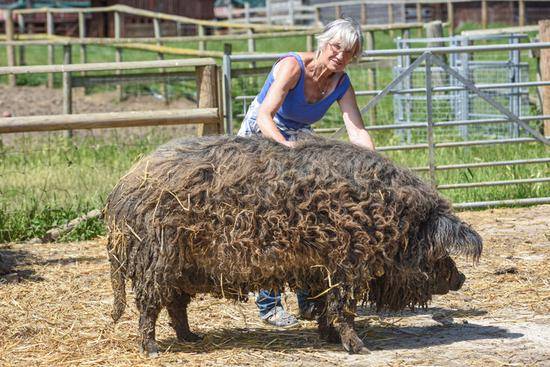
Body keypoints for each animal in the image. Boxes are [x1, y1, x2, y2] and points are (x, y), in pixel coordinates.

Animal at [104, 135, 484, 356]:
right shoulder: (346, 267)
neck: (387, 221)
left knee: (175, 306)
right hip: (156, 259)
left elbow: (326, 308)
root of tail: (123, 184)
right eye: (438, 251)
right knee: (149, 306)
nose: (461, 278)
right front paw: (360, 348)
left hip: (181, 268)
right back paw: (152, 350)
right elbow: (343, 308)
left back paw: (192, 338)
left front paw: (328, 339)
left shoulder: (321, 270)